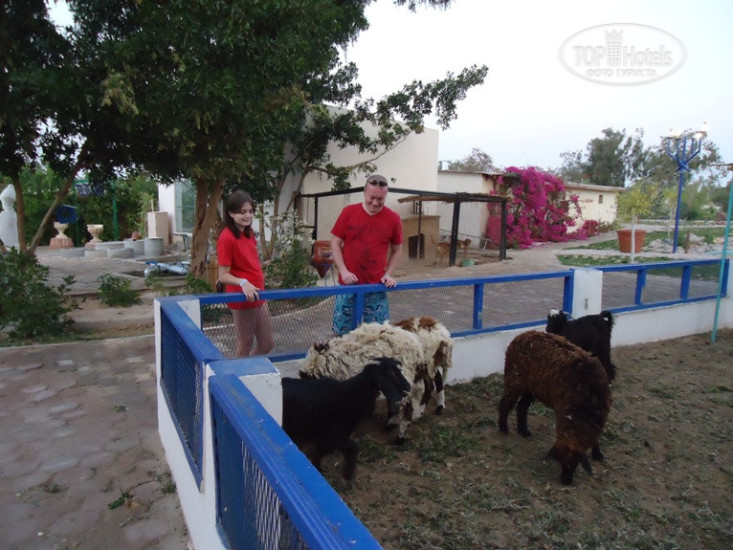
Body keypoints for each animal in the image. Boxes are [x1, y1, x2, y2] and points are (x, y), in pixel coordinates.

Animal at [282, 357, 410, 481]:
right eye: (391, 374)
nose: (408, 388)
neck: (349, 395)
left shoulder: (325, 439)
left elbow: (319, 455)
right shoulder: (332, 434)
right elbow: (353, 449)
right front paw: (348, 477)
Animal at [498, 330, 612, 485]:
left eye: (576, 463)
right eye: (563, 461)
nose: (566, 482)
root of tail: (522, 334)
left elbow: (596, 439)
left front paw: (598, 454)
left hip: (533, 386)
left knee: (521, 406)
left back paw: (524, 431)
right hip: (515, 379)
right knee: (505, 403)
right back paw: (503, 428)